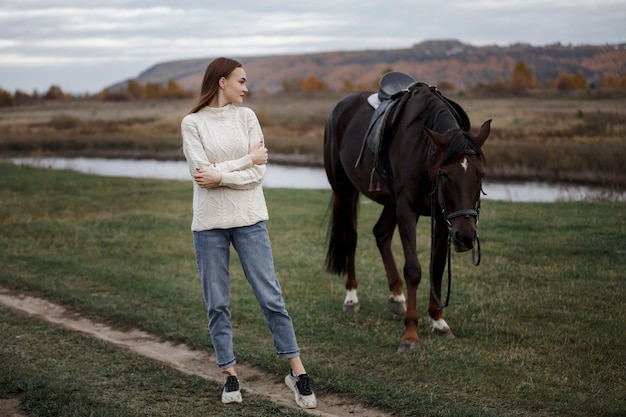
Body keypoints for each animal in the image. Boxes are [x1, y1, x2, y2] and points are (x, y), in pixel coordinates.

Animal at [324, 80, 490, 352]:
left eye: (481, 174)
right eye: (445, 175)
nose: (465, 236)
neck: (423, 152)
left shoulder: (443, 217)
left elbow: (437, 266)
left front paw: (439, 322)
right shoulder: (407, 209)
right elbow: (413, 269)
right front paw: (410, 335)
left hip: (390, 202)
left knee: (380, 233)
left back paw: (396, 296)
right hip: (345, 190)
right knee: (351, 238)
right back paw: (351, 297)